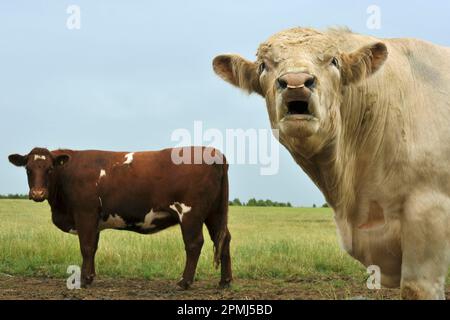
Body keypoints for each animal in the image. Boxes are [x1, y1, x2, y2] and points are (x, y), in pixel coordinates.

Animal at [9, 146, 232, 288]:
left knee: (194, 244)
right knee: (224, 239)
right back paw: (225, 282)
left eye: (50, 169)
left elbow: (86, 247)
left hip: (191, 213)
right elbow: (93, 247)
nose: (38, 193)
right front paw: (90, 277)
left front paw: (83, 280)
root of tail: (215, 153)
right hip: (214, 213)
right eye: (28, 169)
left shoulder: (85, 213)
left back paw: (184, 282)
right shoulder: (94, 219)